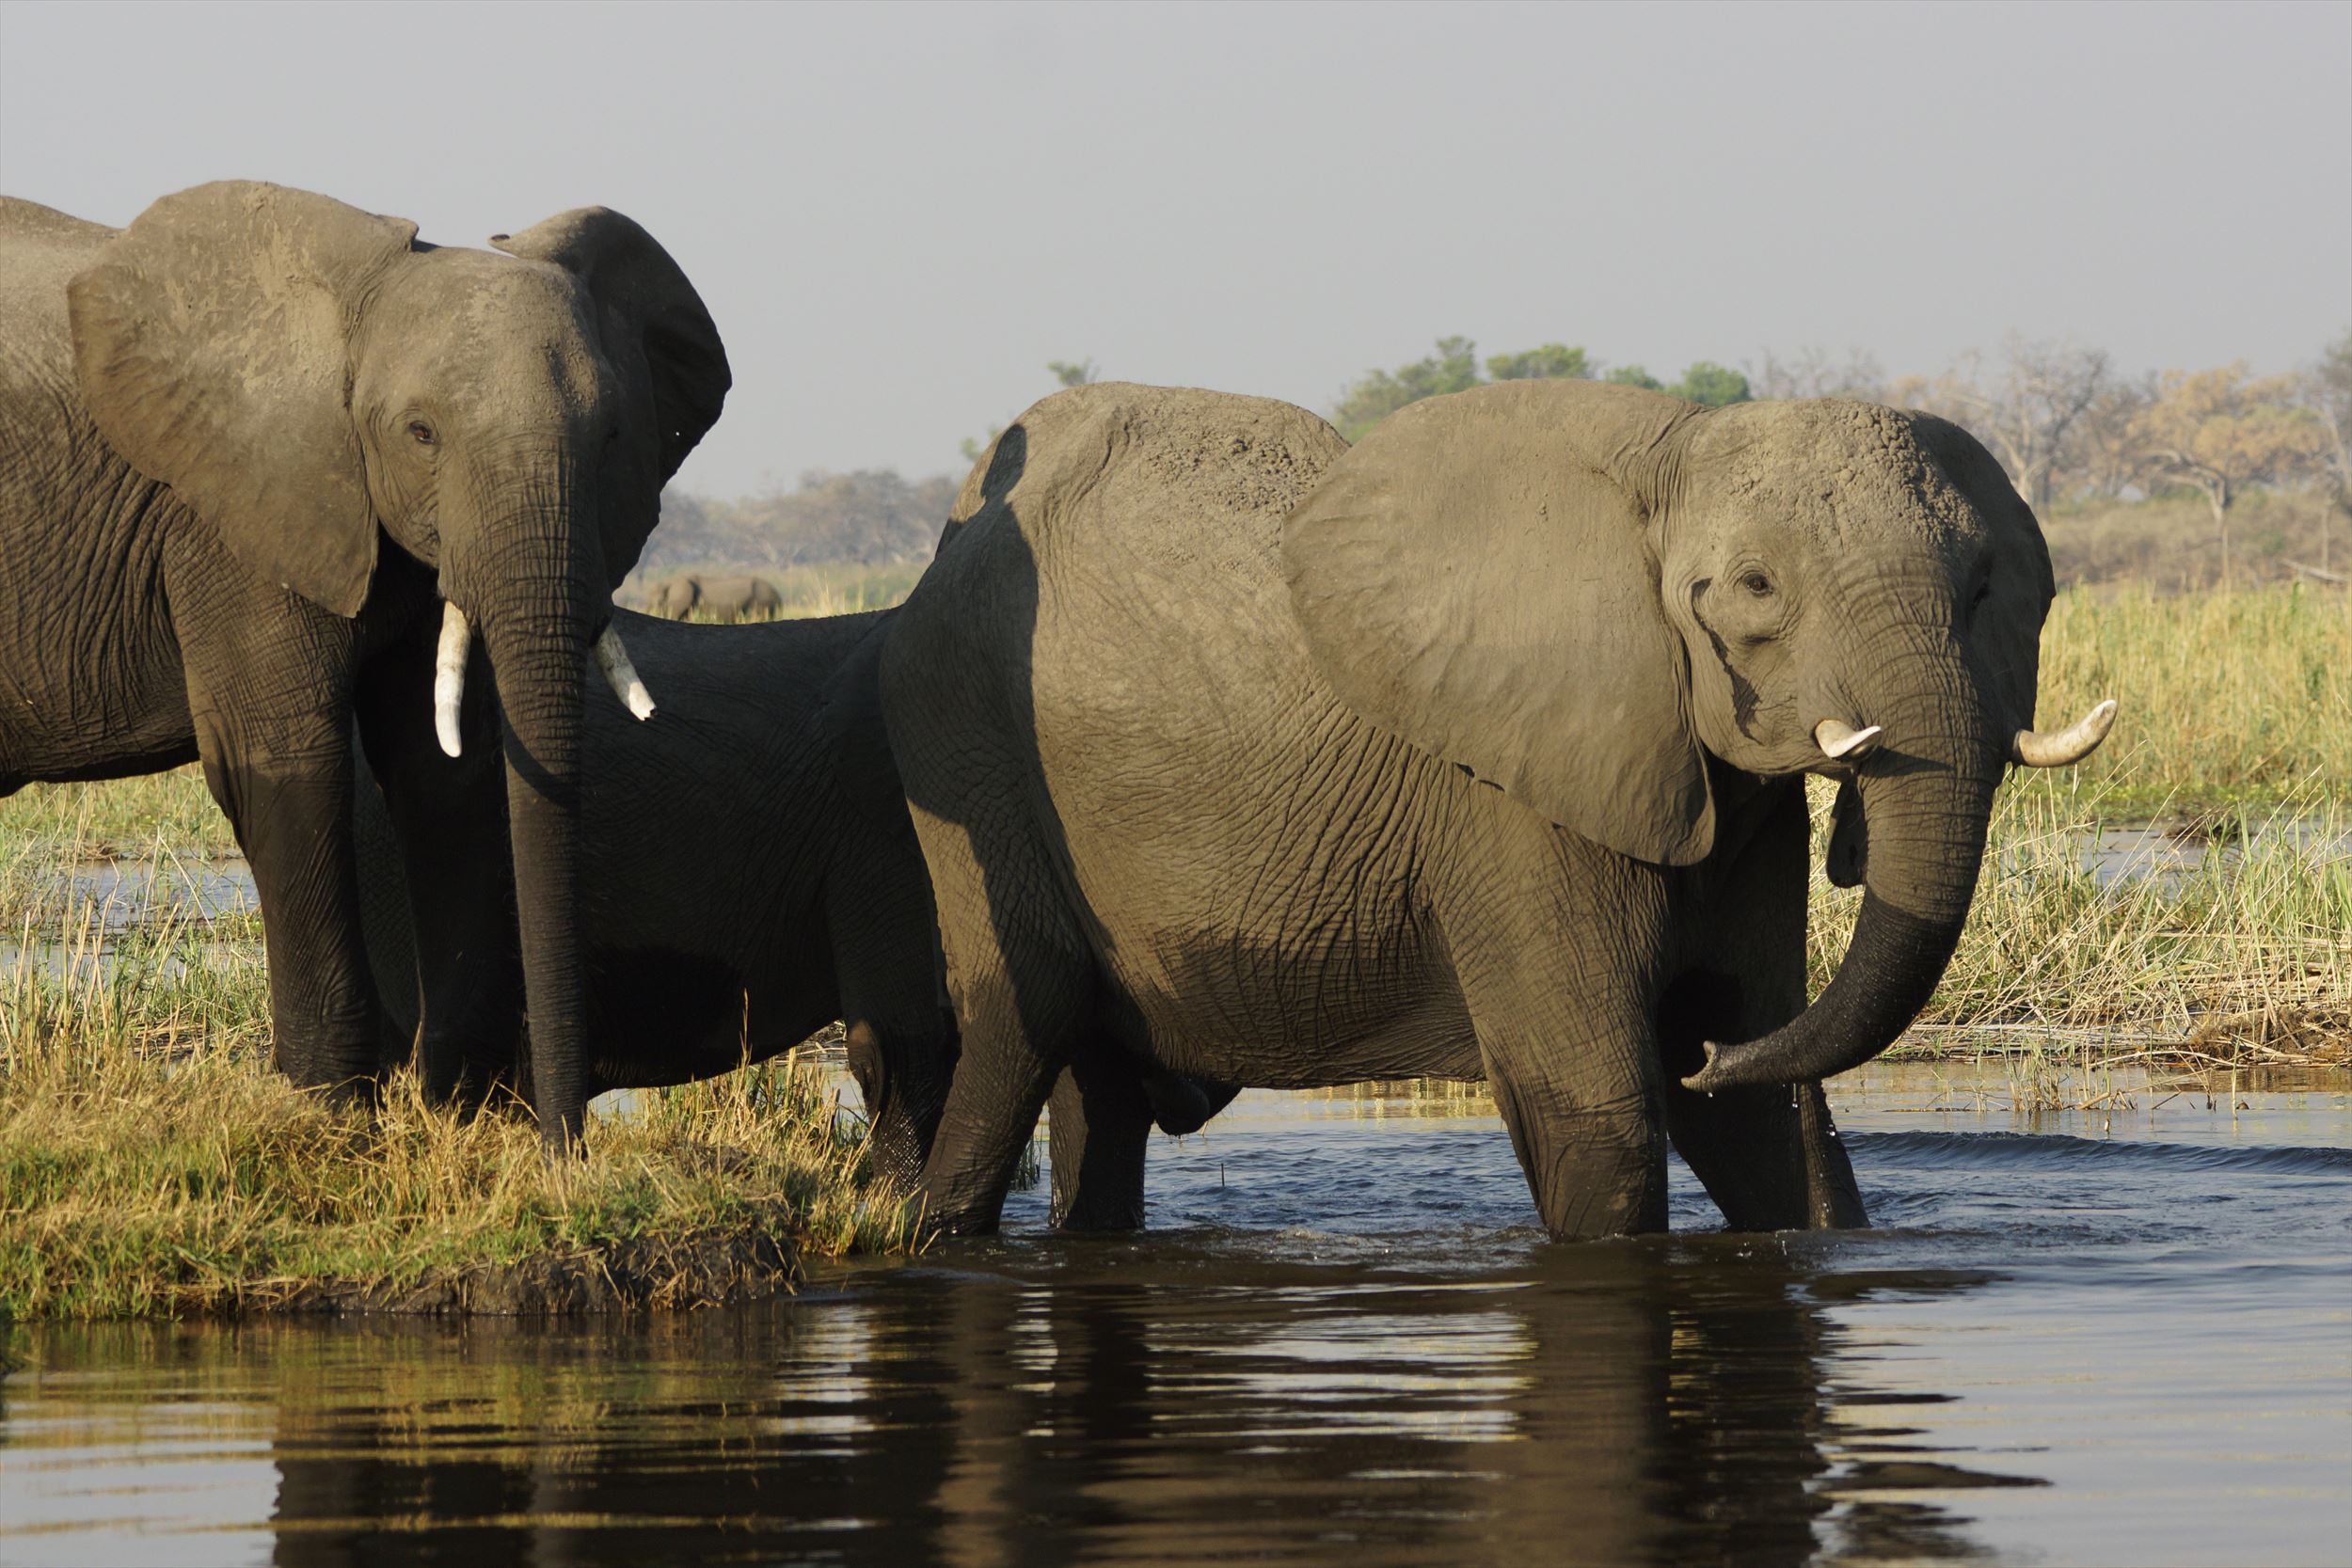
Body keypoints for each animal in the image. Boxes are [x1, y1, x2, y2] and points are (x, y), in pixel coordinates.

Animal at [0, 184, 729, 1147]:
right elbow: (285, 766)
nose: (565, 1145)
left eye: (612, 434)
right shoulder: (237, 517)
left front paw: (462, 1113)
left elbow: (443, 771)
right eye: (420, 433)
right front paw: (332, 1119)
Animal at [889, 380, 2126, 1241]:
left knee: (1095, 1085)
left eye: (1983, 588)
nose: (1703, 1052)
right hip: (965, 748)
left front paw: (1730, 1064)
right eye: (1757, 589)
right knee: (1019, 1030)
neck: (1668, 461)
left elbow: (1764, 1124)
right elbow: (1599, 1114)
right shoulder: (1508, 795)